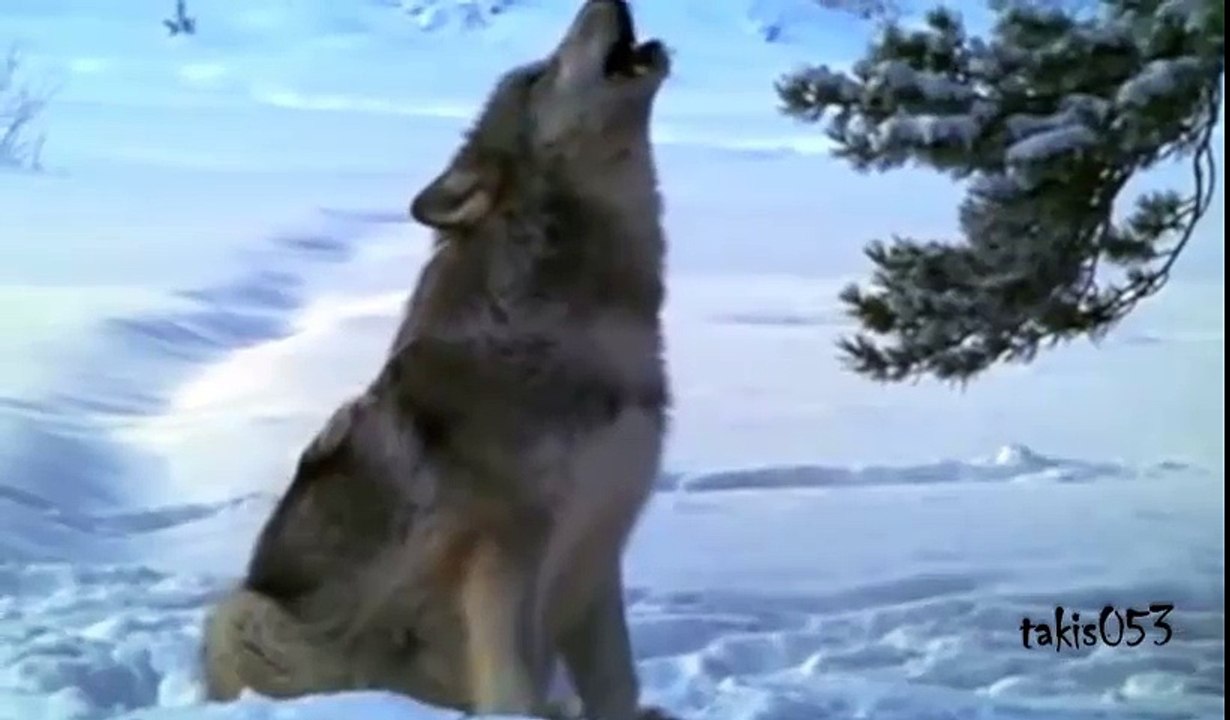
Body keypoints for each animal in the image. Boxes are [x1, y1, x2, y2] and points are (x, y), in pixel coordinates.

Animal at [200, 1, 673, 718]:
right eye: (539, 75)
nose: (605, 4)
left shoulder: (598, 551)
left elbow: (618, 686)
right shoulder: (499, 563)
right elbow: (510, 690)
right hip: (241, 615)